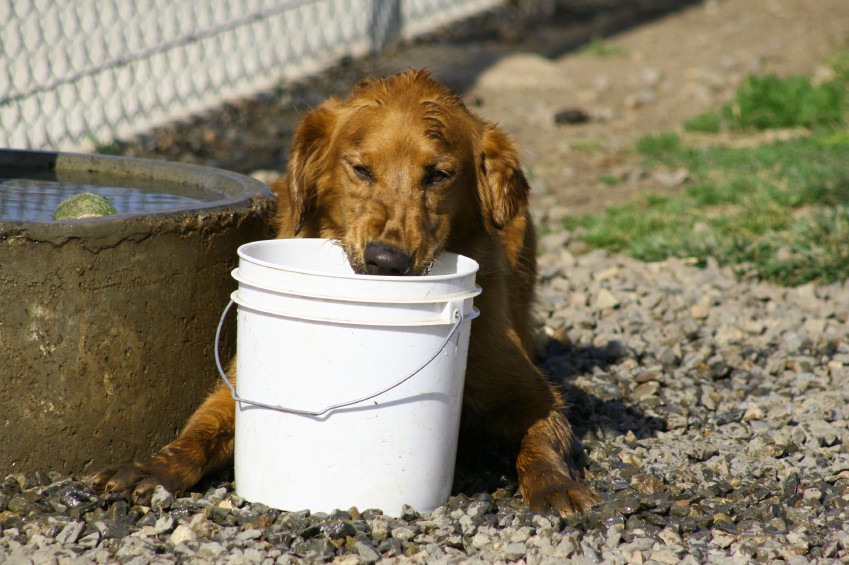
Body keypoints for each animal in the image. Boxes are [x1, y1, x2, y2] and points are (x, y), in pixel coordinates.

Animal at [91, 70, 596, 516]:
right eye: (360, 169)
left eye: (438, 175)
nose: (386, 261)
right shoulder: (235, 387)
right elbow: (202, 427)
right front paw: (154, 468)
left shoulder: (530, 388)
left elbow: (543, 438)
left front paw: (556, 485)